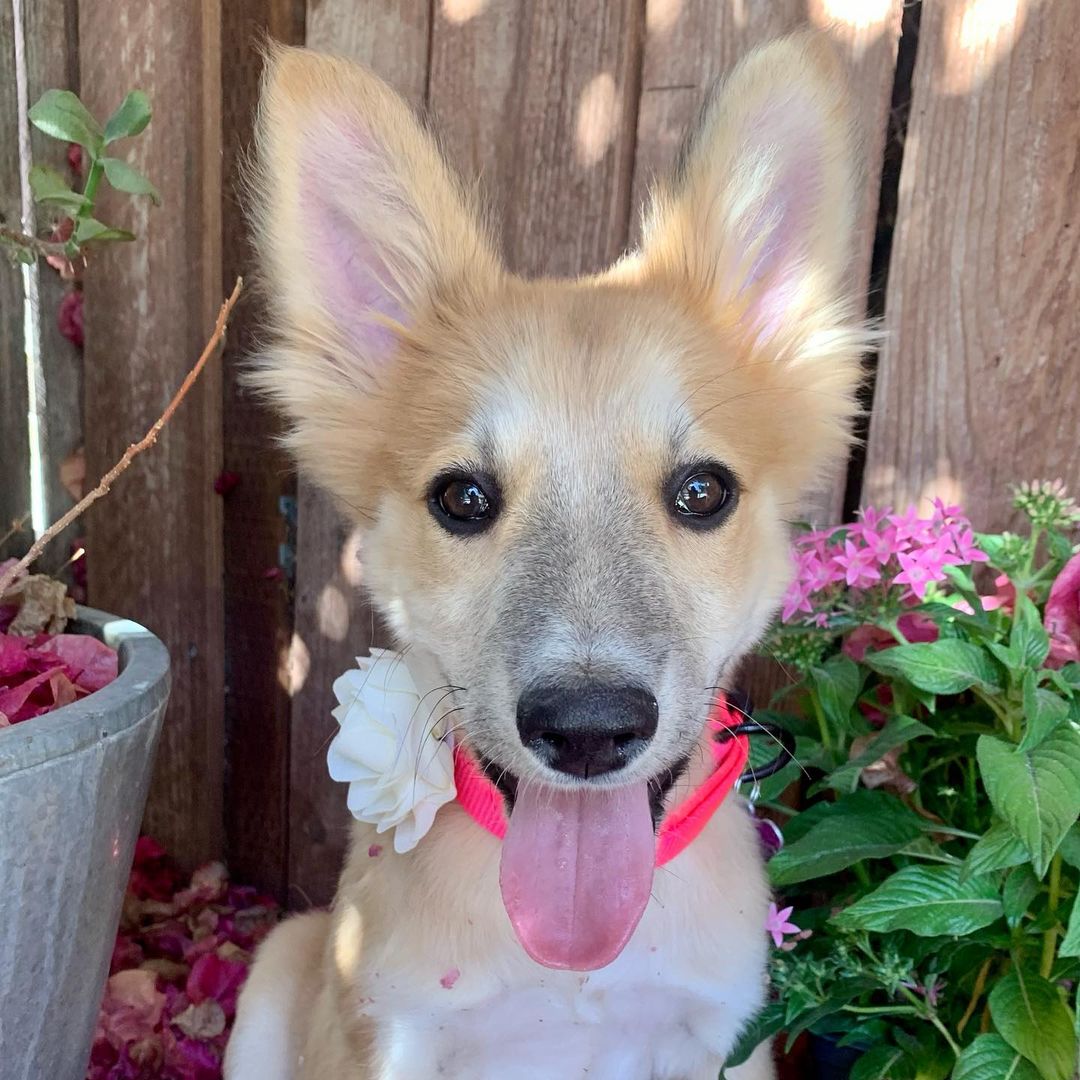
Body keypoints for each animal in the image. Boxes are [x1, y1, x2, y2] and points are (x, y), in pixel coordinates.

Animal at [227, 33, 868, 1080]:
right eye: (463, 498)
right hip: (282, 961)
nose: (588, 730)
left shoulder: (725, 1041)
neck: (576, 965)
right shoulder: (384, 1035)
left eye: (703, 492)